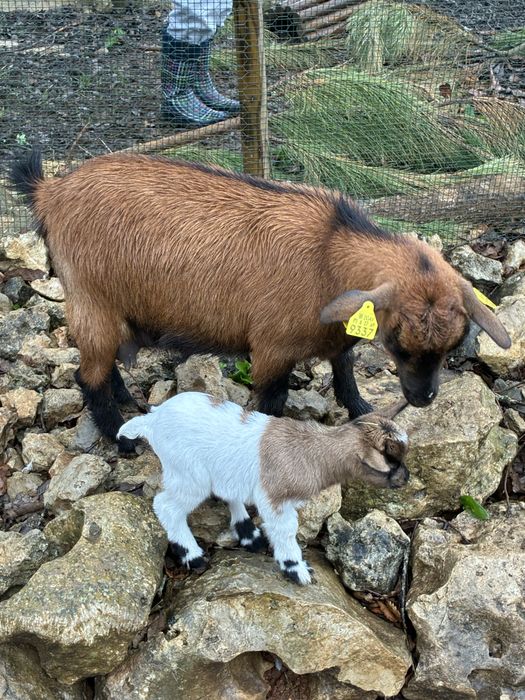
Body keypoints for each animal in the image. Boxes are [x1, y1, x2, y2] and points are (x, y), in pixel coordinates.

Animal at [11, 150, 510, 453]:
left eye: (452, 347)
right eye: (398, 345)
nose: (423, 398)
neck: (328, 254)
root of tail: (50, 191)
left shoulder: (337, 333)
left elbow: (344, 367)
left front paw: (362, 411)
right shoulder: (271, 349)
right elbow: (272, 402)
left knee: (106, 363)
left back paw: (130, 404)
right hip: (90, 298)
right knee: (87, 374)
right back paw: (123, 438)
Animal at [117, 392, 409, 584]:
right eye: (389, 462)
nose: (405, 479)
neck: (313, 453)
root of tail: (153, 419)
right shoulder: (276, 498)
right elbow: (287, 530)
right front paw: (296, 569)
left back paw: (248, 534)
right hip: (188, 473)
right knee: (166, 507)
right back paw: (193, 555)